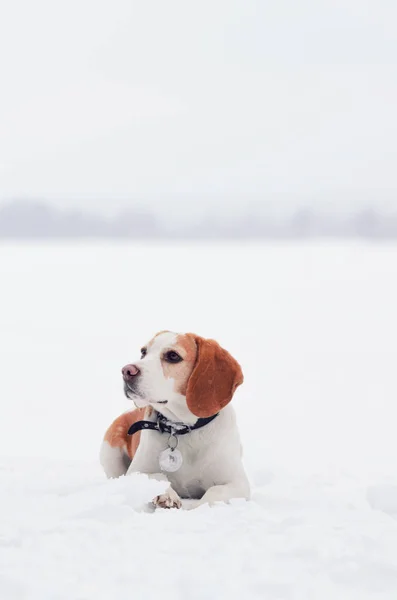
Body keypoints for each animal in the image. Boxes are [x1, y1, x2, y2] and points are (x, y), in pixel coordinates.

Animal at [100, 330, 248, 508]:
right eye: (143, 352)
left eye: (173, 356)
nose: (126, 371)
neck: (182, 427)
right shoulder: (136, 472)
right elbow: (157, 476)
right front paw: (166, 495)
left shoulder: (239, 483)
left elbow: (214, 493)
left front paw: (195, 506)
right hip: (110, 453)